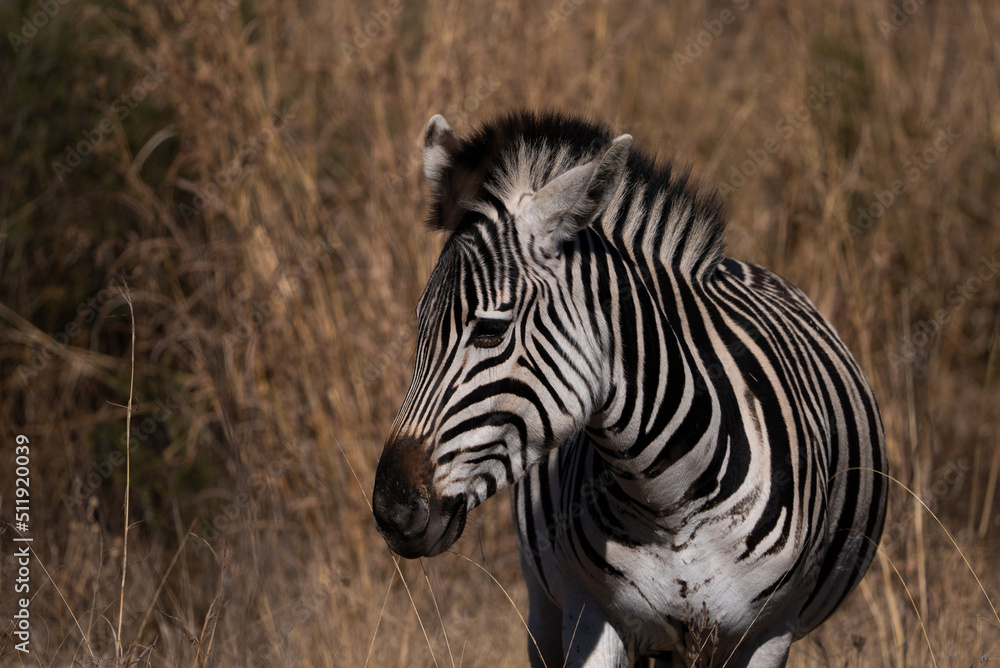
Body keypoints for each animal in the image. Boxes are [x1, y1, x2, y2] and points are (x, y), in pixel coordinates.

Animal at [372, 111, 887, 667]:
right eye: (419, 326)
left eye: (490, 330)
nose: (391, 510)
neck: (671, 499)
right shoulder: (591, 614)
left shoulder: (770, 632)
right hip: (545, 609)